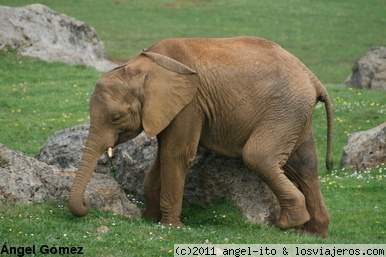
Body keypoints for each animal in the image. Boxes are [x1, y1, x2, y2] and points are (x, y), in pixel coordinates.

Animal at [68, 35, 334, 236]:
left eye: (115, 118)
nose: (87, 205)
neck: (141, 67)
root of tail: (313, 77)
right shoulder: (169, 108)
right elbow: (162, 156)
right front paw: (150, 220)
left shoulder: (190, 103)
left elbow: (176, 155)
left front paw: (171, 226)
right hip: (295, 113)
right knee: (305, 166)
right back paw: (313, 233)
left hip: (286, 110)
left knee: (258, 156)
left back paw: (289, 223)